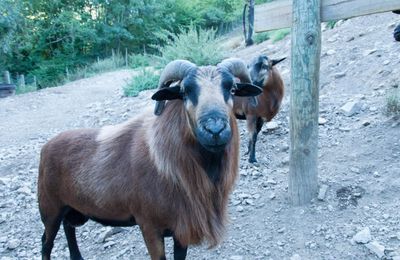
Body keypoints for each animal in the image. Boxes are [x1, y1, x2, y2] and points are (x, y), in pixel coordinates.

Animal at [38, 59, 262, 260]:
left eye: (232, 88)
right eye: (184, 92)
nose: (215, 129)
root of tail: (47, 146)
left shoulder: (182, 228)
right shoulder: (149, 227)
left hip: (74, 209)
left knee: (69, 228)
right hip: (50, 209)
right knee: (46, 242)